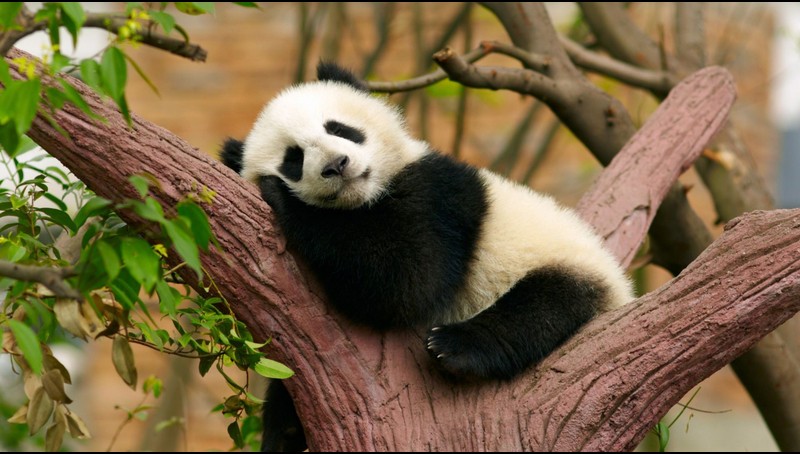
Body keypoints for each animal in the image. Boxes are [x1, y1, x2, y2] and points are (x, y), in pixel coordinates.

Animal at [220, 62, 633, 451]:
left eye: (339, 128)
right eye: (293, 159)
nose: (336, 165)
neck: (365, 198)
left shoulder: (437, 196)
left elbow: (407, 281)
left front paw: (284, 199)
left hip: (566, 264)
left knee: (542, 306)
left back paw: (456, 346)